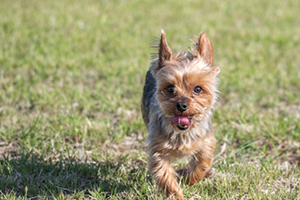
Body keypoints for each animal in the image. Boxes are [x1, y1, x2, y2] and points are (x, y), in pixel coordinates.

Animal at [141, 30, 220, 200]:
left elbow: (202, 163)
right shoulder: (159, 151)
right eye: (170, 89)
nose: (182, 105)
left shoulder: (206, 142)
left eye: (198, 89)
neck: (182, 133)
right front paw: (177, 195)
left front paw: (190, 180)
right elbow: (165, 175)